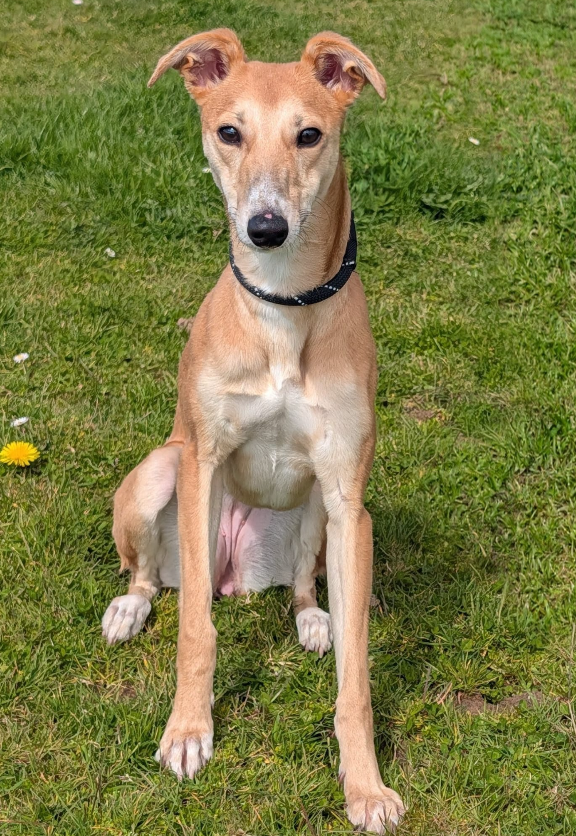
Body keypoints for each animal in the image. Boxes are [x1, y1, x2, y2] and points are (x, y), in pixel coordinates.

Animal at [102, 29, 405, 833]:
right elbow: (195, 632)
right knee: (158, 579)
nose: (265, 229)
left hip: (313, 514)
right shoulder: (202, 462)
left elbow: (356, 676)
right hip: (158, 475)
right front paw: (187, 732)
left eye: (311, 135)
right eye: (229, 131)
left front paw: (365, 786)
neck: (284, 308)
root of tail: (234, 576)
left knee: (303, 583)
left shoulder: (347, 498)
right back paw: (130, 606)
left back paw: (312, 619)